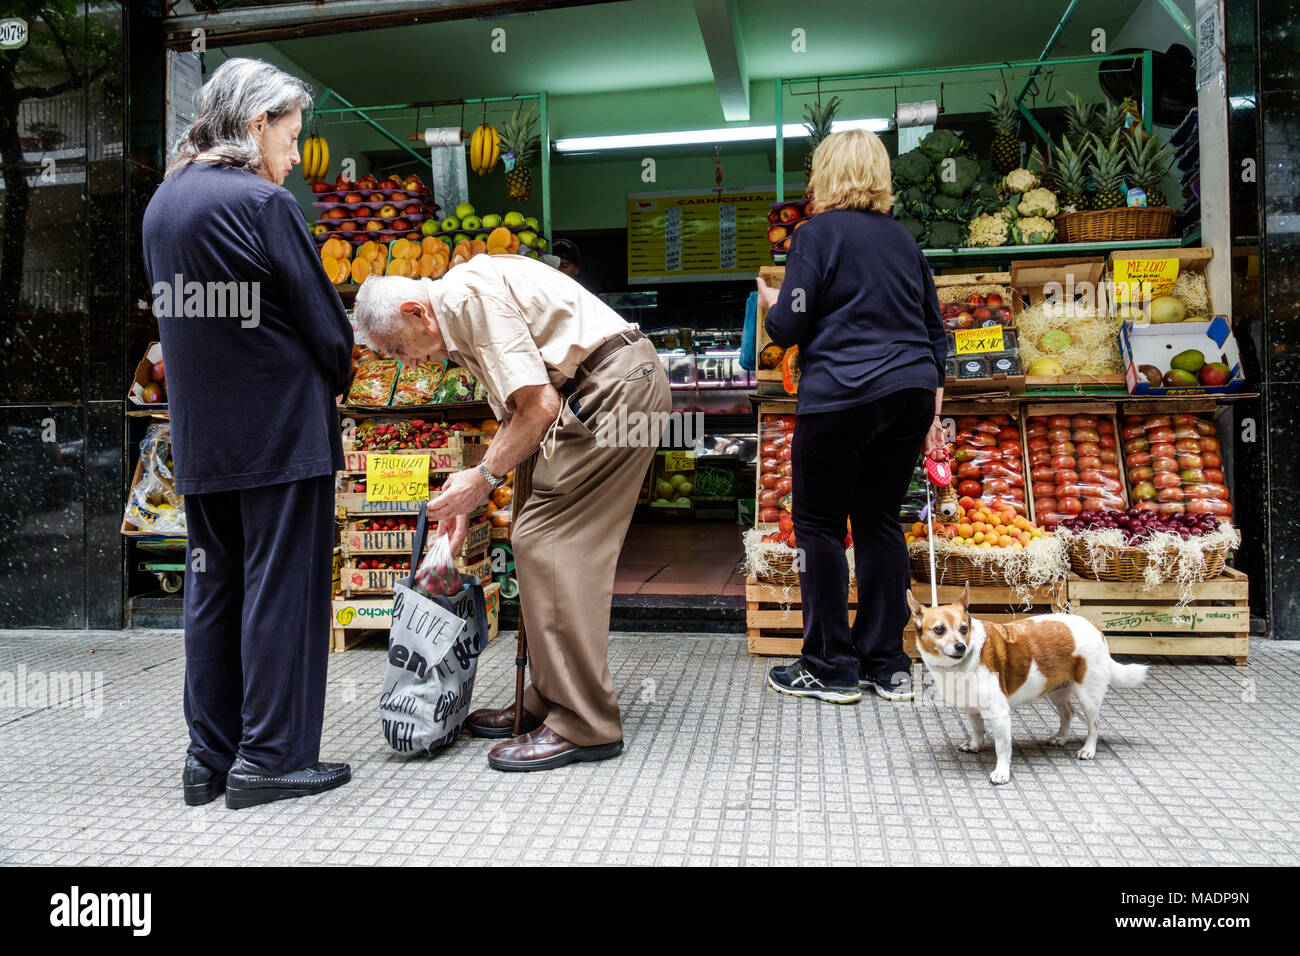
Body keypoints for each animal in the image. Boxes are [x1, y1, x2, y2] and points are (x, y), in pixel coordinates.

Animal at [904, 587, 1149, 790]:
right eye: (939, 629)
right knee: (1068, 713)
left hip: (1088, 695)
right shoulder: (973, 707)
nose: (960, 647)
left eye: (964, 628)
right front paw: (975, 745)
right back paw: (1060, 738)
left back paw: (1088, 749)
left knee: (1094, 724)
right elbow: (977, 729)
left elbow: (1003, 748)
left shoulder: (1000, 714)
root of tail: (1096, 628)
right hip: (1057, 690)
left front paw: (1001, 773)